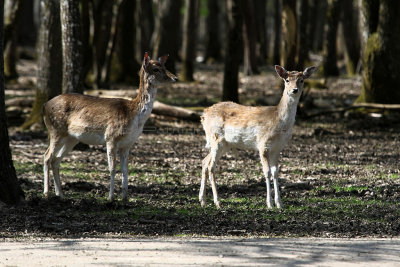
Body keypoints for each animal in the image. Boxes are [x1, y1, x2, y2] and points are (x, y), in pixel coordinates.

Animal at [43, 53, 177, 202]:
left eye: (165, 66)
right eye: (155, 69)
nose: (175, 78)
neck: (133, 116)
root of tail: (45, 106)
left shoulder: (127, 144)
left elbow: (125, 169)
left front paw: (125, 198)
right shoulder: (111, 137)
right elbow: (112, 168)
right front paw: (110, 198)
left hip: (71, 138)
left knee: (56, 160)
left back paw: (60, 195)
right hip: (55, 129)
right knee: (46, 156)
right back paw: (47, 194)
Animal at [200, 65, 316, 209]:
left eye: (301, 80)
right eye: (287, 80)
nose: (294, 90)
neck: (279, 123)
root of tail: (203, 115)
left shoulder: (278, 148)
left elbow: (276, 172)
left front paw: (280, 204)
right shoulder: (262, 144)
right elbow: (267, 172)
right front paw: (269, 204)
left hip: (225, 144)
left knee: (205, 161)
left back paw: (202, 200)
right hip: (216, 138)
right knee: (211, 166)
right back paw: (217, 202)